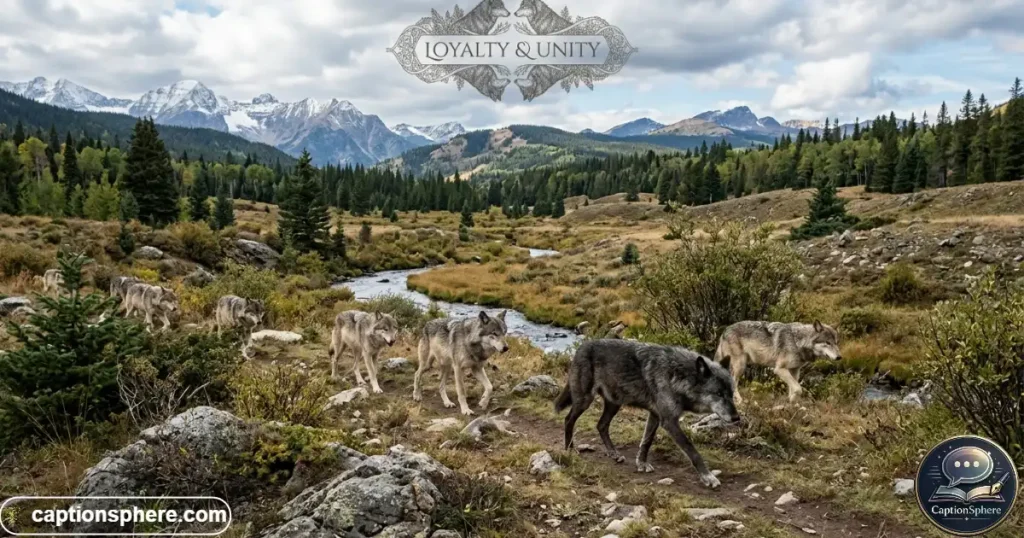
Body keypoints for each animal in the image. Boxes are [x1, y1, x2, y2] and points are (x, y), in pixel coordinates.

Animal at [555, 339, 739, 489]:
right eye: (718, 394)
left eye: (731, 393)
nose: (737, 418)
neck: (676, 376)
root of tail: (582, 346)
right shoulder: (669, 421)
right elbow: (691, 449)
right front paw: (708, 477)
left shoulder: (656, 415)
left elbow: (647, 441)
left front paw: (641, 463)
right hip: (584, 400)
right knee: (568, 419)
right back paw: (570, 449)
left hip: (614, 404)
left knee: (601, 425)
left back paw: (614, 453)